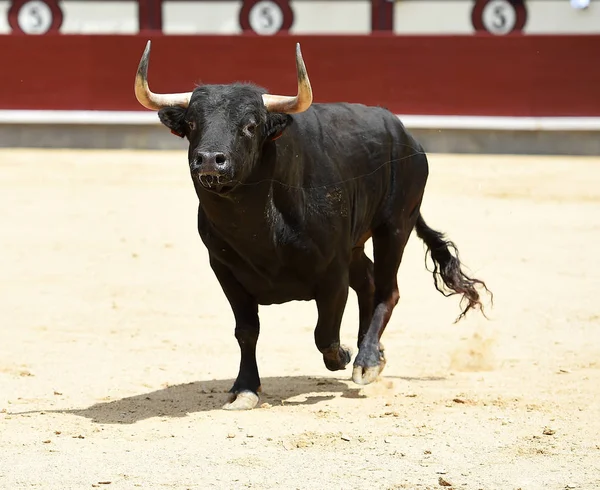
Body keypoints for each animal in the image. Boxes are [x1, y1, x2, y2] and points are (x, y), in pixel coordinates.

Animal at [135, 42, 492, 410]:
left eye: (250, 125)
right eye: (192, 123)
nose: (209, 160)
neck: (259, 230)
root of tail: (407, 137)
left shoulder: (332, 272)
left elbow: (326, 334)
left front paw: (346, 355)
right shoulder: (224, 270)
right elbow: (247, 331)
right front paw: (245, 388)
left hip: (395, 226)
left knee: (386, 290)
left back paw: (367, 361)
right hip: (356, 243)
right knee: (367, 281)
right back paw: (372, 349)